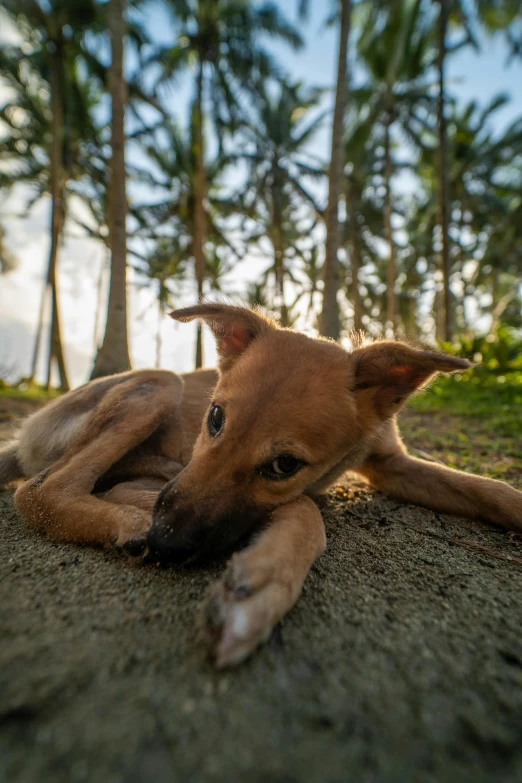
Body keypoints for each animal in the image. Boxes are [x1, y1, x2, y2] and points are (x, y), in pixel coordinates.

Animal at [3, 306, 520, 668]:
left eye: (284, 464)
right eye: (214, 417)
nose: (166, 542)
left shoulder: (393, 464)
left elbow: (492, 491)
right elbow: (304, 514)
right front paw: (258, 591)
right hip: (159, 386)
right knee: (40, 491)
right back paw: (131, 524)